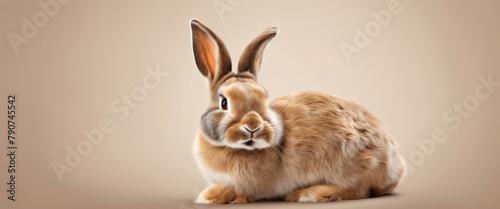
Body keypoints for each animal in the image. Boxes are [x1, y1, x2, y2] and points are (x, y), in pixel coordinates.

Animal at [189, 18, 404, 203]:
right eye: (224, 103)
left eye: (264, 99)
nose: (253, 126)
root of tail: (396, 166)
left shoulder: (247, 186)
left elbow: (231, 191)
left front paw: (206, 197)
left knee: (360, 191)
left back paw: (307, 194)